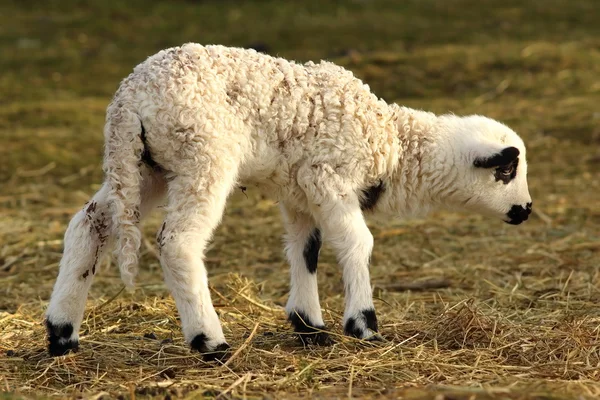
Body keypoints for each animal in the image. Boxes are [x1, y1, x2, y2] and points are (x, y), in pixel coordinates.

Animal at [48, 43, 536, 360]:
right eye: (507, 170)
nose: (526, 209)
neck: (392, 144)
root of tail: (128, 100)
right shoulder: (329, 175)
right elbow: (357, 243)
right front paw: (363, 324)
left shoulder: (301, 189)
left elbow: (307, 248)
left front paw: (308, 325)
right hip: (202, 154)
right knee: (178, 242)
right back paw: (210, 342)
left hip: (142, 166)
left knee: (89, 224)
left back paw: (61, 335)